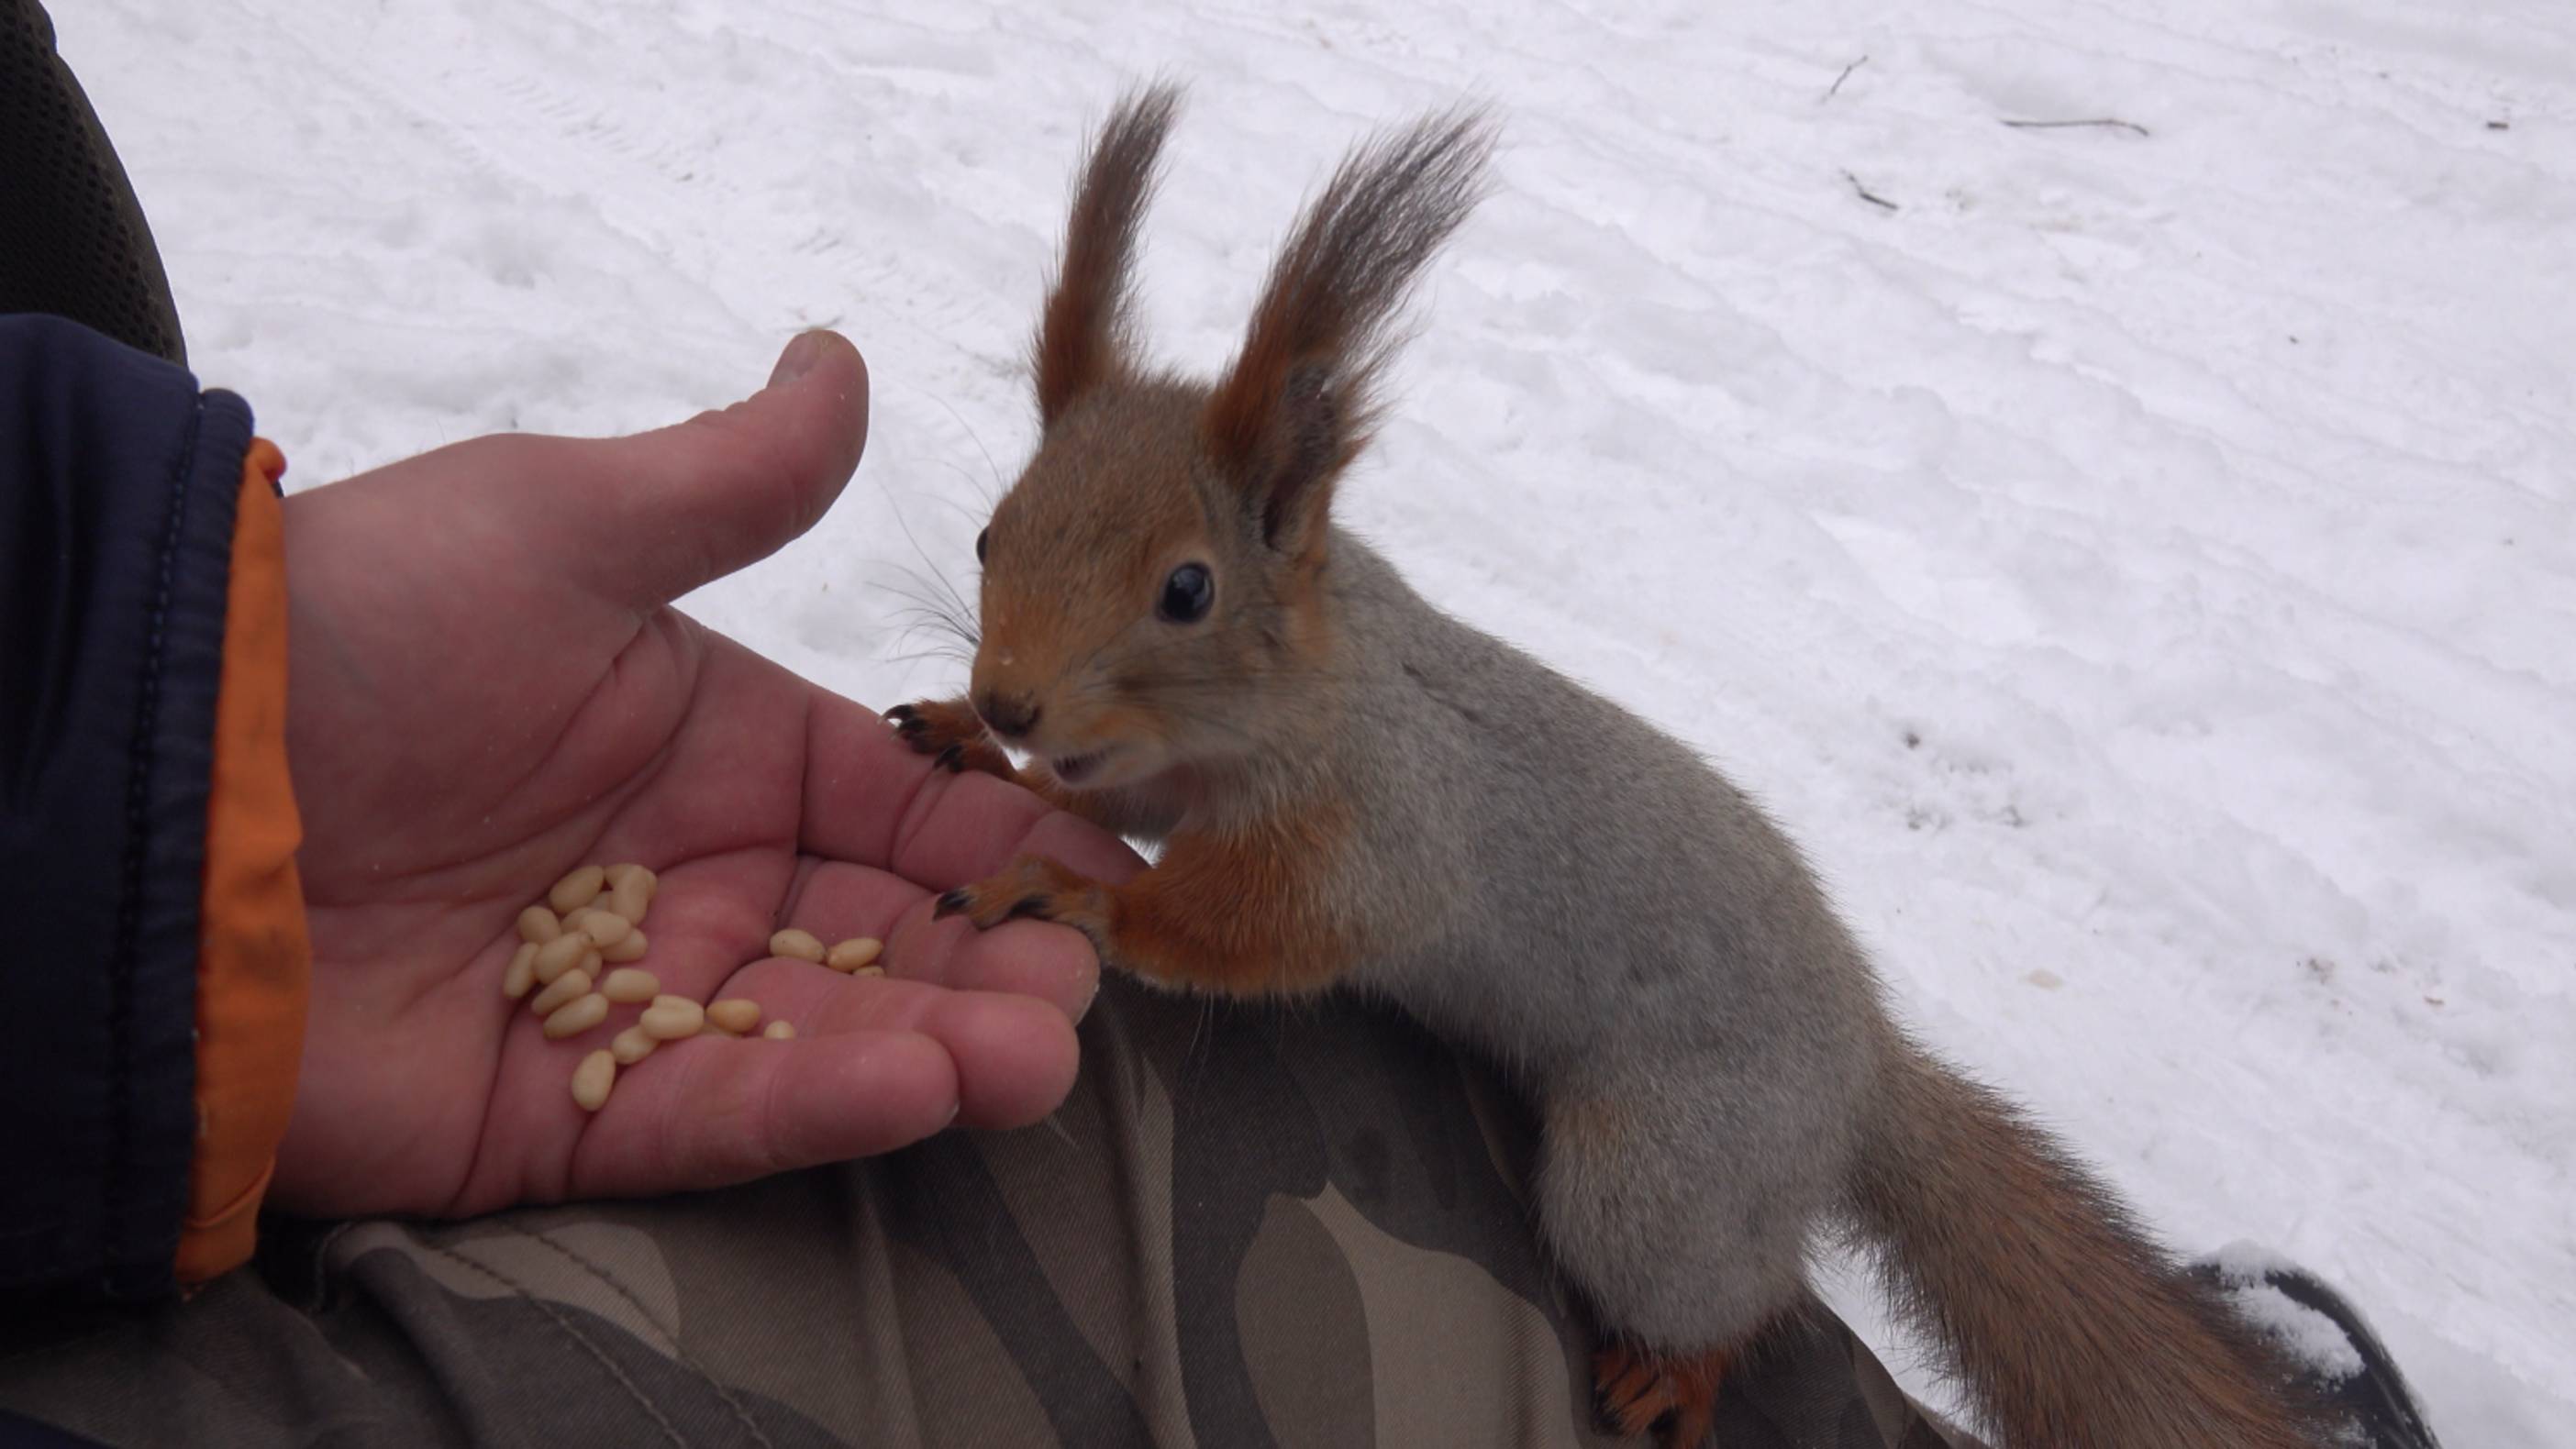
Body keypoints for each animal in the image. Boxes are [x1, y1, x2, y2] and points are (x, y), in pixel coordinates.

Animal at [891, 84, 2338, 1441]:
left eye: (1186, 590)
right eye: (990, 533)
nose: (1009, 697)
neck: (1294, 696)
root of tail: (1863, 1073)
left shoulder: (1384, 821)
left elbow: (1267, 925)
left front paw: (1085, 894)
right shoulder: (1160, 771)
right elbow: (1116, 796)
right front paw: (988, 757)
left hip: (1658, 1174)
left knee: (1737, 1293)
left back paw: (1677, 1376)